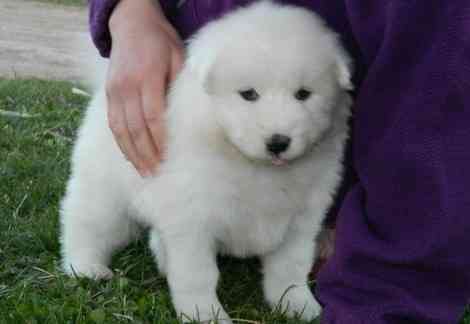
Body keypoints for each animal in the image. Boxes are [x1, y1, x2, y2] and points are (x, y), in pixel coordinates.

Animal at [59, 1, 352, 322]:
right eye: (249, 94)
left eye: (303, 94)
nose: (278, 143)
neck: (250, 164)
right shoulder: (192, 220)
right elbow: (197, 275)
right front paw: (206, 314)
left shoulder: (301, 220)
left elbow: (290, 268)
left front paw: (298, 305)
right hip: (105, 191)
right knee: (85, 223)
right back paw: (86, 266)